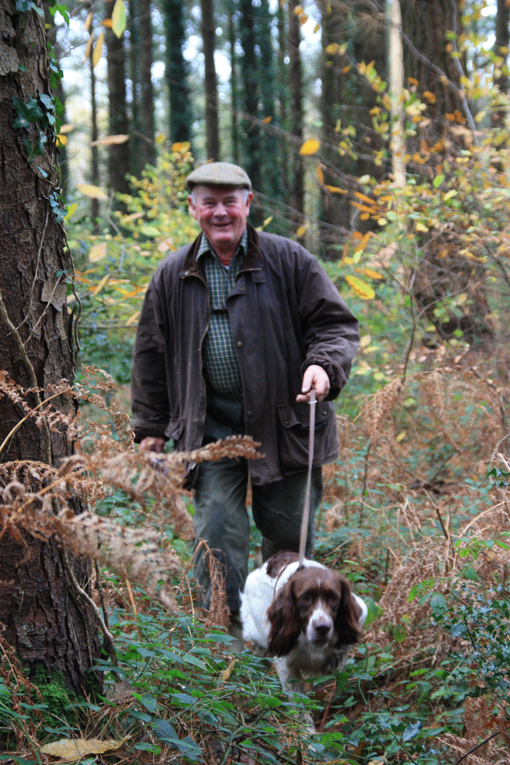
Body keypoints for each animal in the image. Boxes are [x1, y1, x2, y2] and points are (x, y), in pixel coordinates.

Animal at [240, 552, 366, 732]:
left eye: (333, 598)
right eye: (305, 598)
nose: (322, 627)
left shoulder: (358, 614)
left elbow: (341, 652)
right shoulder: (285, 662)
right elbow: (299, 703)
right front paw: (309, 733)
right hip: (259, 630)